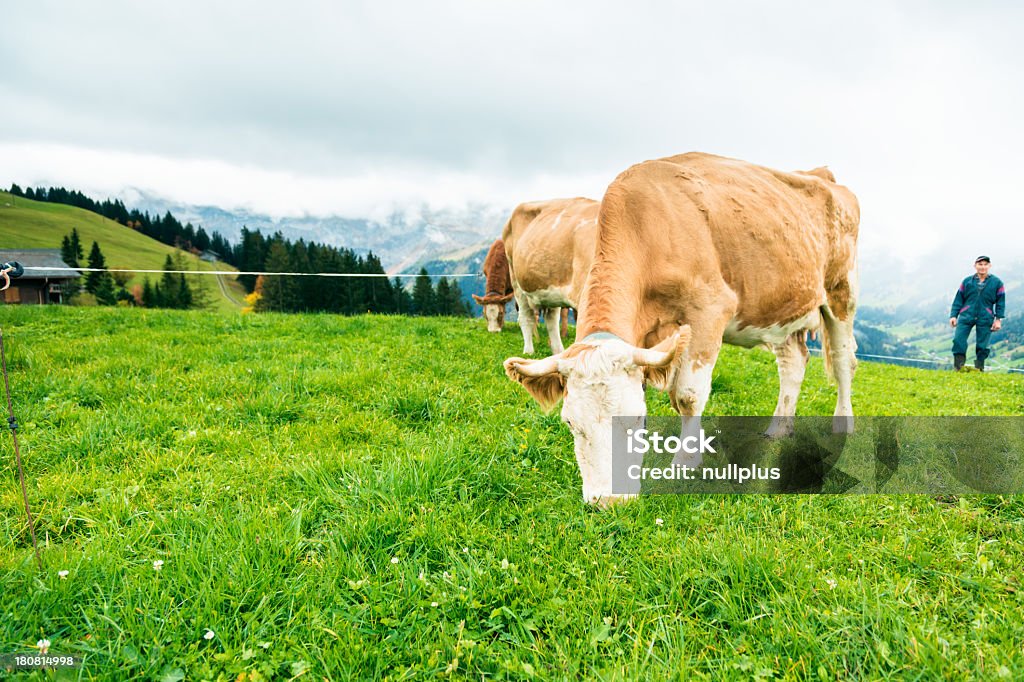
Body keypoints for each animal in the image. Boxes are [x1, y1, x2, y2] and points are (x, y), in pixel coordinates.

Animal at [503, 196, 598, 352]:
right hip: (516, 279)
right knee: (526, 317)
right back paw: (529, 352)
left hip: (551, 284)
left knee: (551, 320)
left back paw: (558, 351)